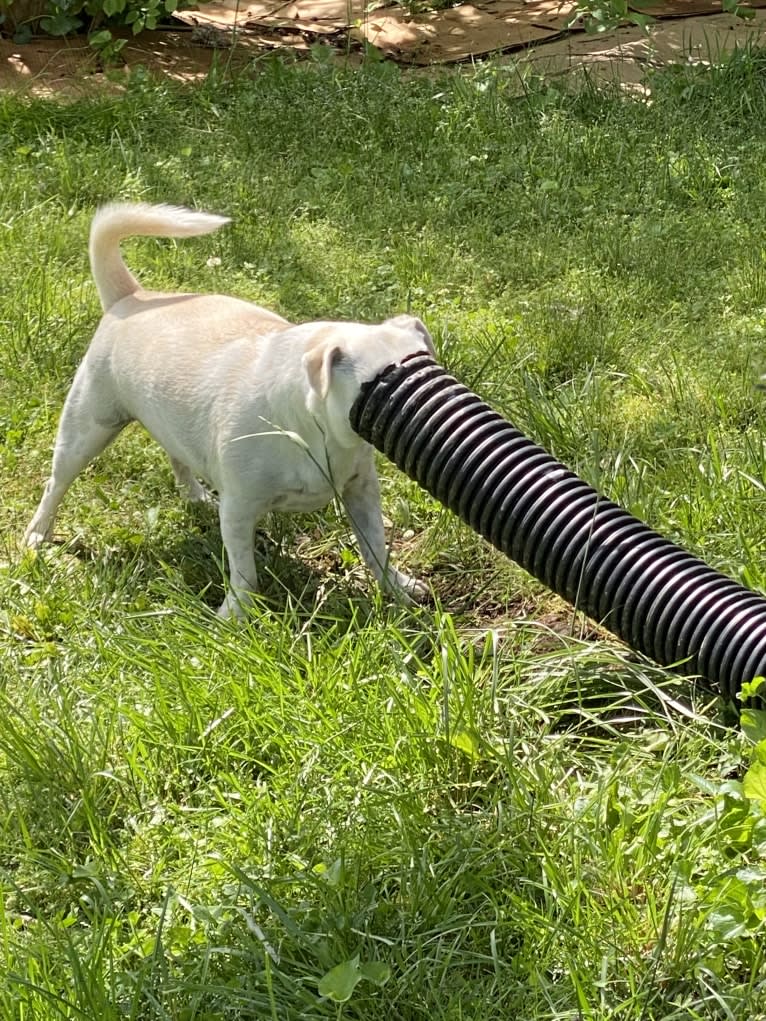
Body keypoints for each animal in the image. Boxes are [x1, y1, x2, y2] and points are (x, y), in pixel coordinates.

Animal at [25, 201, 433, 612]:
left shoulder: (361, 490)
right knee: (56, 484)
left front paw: (397, 587)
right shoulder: (238, 510)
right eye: (381, 384)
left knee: (177, 455)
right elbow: (245, 574)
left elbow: (375, 546)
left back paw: (194, 495)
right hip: (86, 429)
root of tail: (132, 298)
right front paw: (236, 614)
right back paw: (38, 534)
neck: (314, 431)